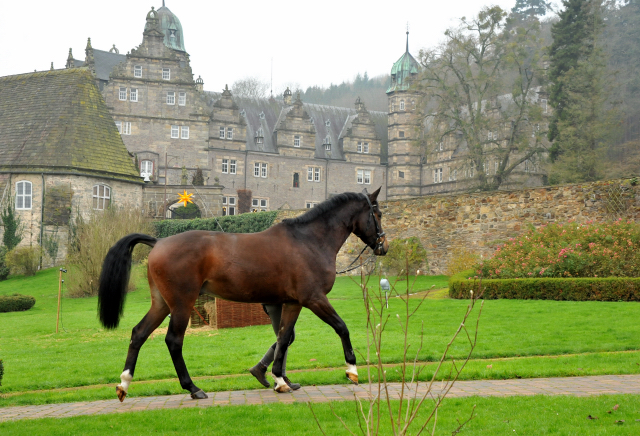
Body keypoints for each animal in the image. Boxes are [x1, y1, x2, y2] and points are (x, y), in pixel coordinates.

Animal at [97, 187, 388, 402]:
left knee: (139, 334)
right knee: (173, 341)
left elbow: (283, 338)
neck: (308, 241)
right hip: (181, 303)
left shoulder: (293, 303)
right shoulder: (314, 298)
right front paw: (352, 370)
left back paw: (124, 384)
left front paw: (280, 380)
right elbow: (341, 327)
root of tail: (158, 242)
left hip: (162, 303)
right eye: (378, 213)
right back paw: (193, 388)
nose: (383, 246)